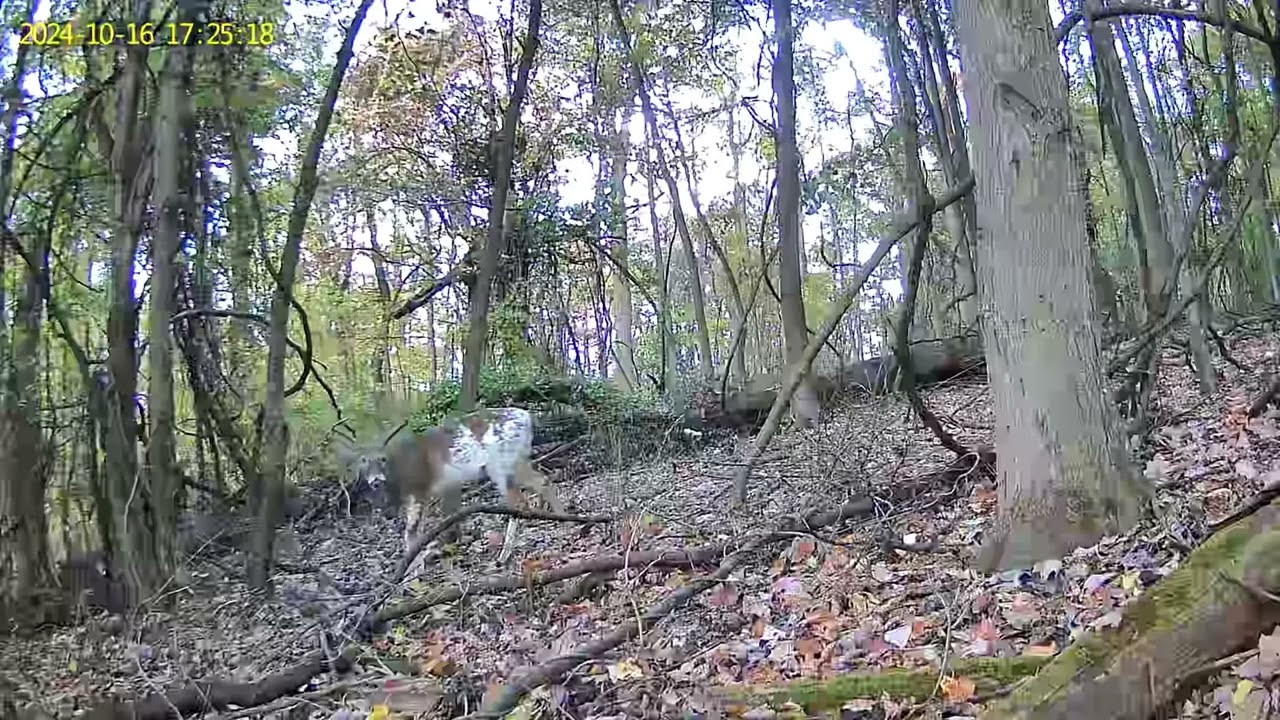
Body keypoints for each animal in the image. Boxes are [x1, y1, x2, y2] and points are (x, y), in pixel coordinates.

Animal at [331, 407, 562, 566]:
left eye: (382, 459)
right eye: (363, 461)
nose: (376, 480)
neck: (400, 472)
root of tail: (527, 418)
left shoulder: (420, 488)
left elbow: (411, 534)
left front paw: (412, 573)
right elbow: (416, 533)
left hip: (501, 461)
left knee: (519, 502)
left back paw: (503, 557)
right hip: (517, 459)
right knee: (541, 480)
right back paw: (563, 516)